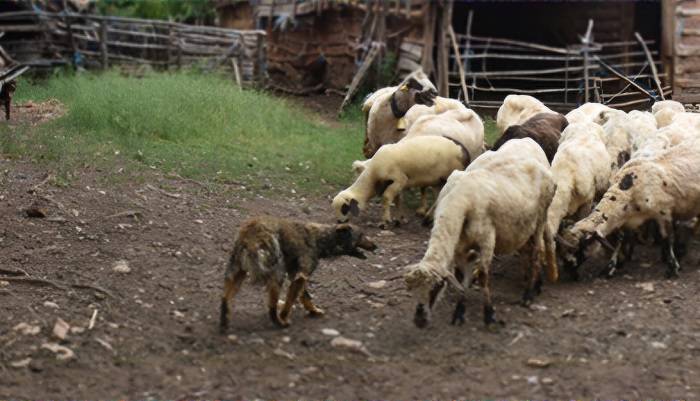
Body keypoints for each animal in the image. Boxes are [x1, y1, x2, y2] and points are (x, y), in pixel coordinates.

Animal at [220, 217, 378, 330]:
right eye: (361, 235)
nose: (376, 246)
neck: (321, 239)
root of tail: (252, 230)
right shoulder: (300, 276)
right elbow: (289, 303)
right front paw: (285, 317)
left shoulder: (297, 276)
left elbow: (305, 297)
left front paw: (314, 311)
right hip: (277, 275)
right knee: (271, 307)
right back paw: (280, 323)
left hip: (237, 272)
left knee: (225, 298)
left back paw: (224, 323)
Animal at [402, 139, 556, 326]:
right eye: (413, 290)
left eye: (436, 287)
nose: (419, 320)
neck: (459, 201)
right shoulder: (460, 247)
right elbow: (461, 277)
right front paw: (459, 312)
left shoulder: (487, 239)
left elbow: (483, 276)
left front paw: (489, 314)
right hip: (524, 226)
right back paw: (535, 284)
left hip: (540, 217)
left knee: (536, 251)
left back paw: (528, 295)